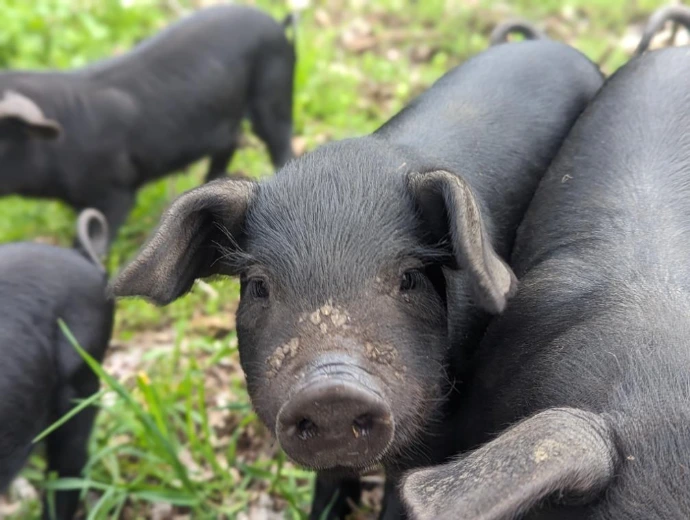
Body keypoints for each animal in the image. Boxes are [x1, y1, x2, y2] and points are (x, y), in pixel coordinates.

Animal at [0, 5, 296, 243]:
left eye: (1, 141)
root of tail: (278, 25)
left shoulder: (116, 191)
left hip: (274, 93)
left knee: (281, 144)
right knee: (230, 143)